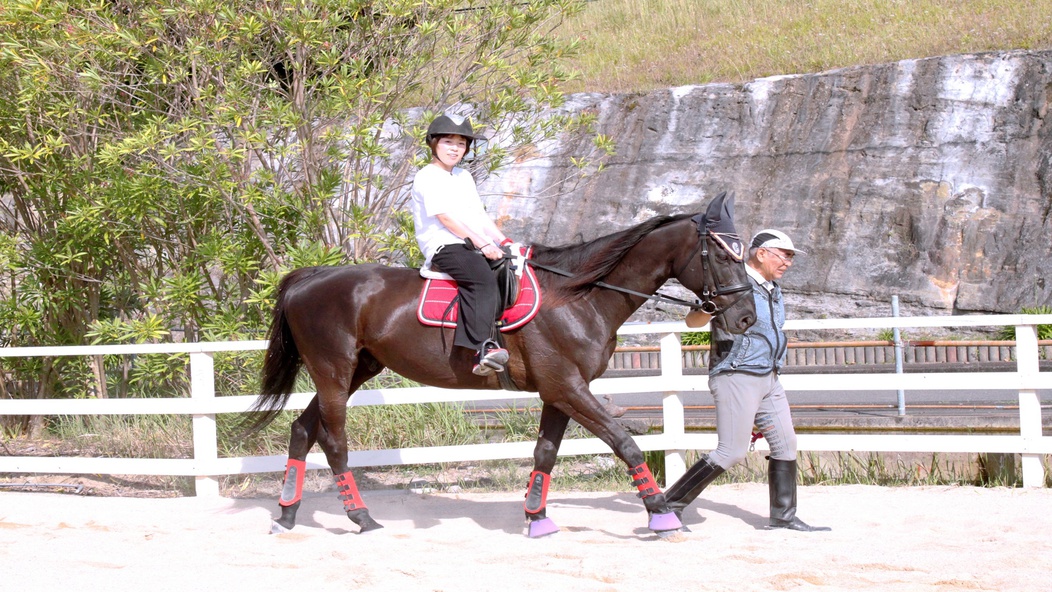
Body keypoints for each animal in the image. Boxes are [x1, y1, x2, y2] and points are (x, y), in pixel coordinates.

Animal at [246, 192, 757, 538]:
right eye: (723, 254)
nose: (746, 318)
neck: (579, 296)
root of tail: (310, 277)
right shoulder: (568, 387)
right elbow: (625, 443)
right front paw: (662, 514)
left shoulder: (559, 391)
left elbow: (545, 454)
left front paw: (537, 518)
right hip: (333, 371)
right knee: (333, 440)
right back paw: (361, 517)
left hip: (356, 371)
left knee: (302, 429)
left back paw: (287, 514)